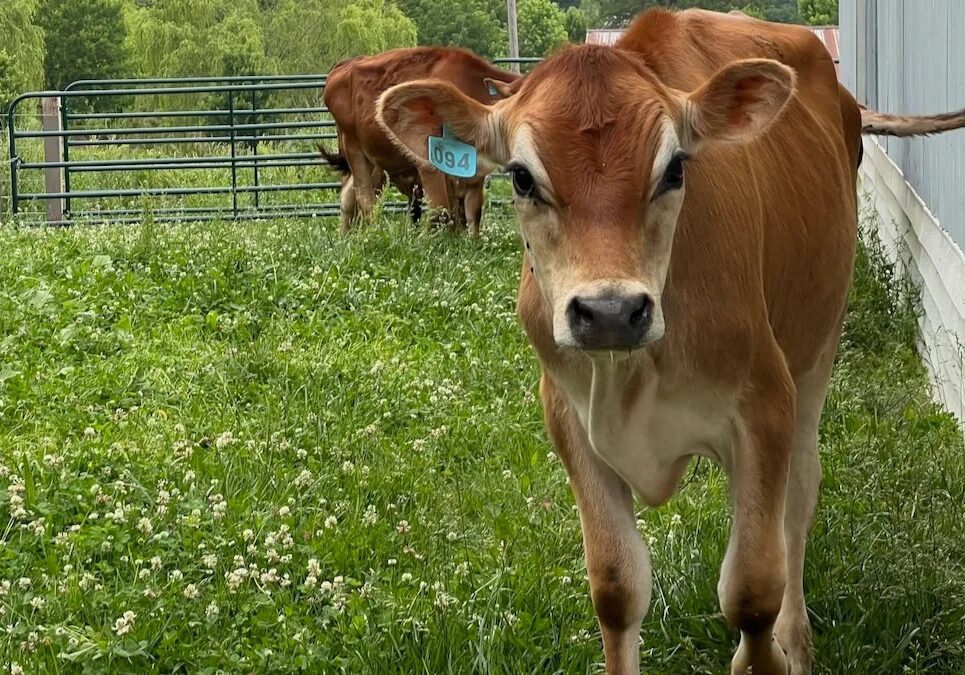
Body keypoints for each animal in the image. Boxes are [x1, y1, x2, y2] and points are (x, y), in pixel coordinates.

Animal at [321, 46, 519, 235]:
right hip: (354, 148)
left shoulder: (474, 174)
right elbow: (441, 211)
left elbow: (472, 214)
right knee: (365, 198)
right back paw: (374, 233)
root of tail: (347, 64)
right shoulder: (430, 161)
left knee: (349, 195)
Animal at [376, 8, 965, 675]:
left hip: (817, 347)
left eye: (675, 168)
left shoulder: (764, 404)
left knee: (797, 500)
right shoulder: (569, 417)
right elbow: (616, 587)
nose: (609, 311)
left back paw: (797, 637)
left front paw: (768, 654)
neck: (632, 374)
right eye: (522, 178)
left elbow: (752, 591)